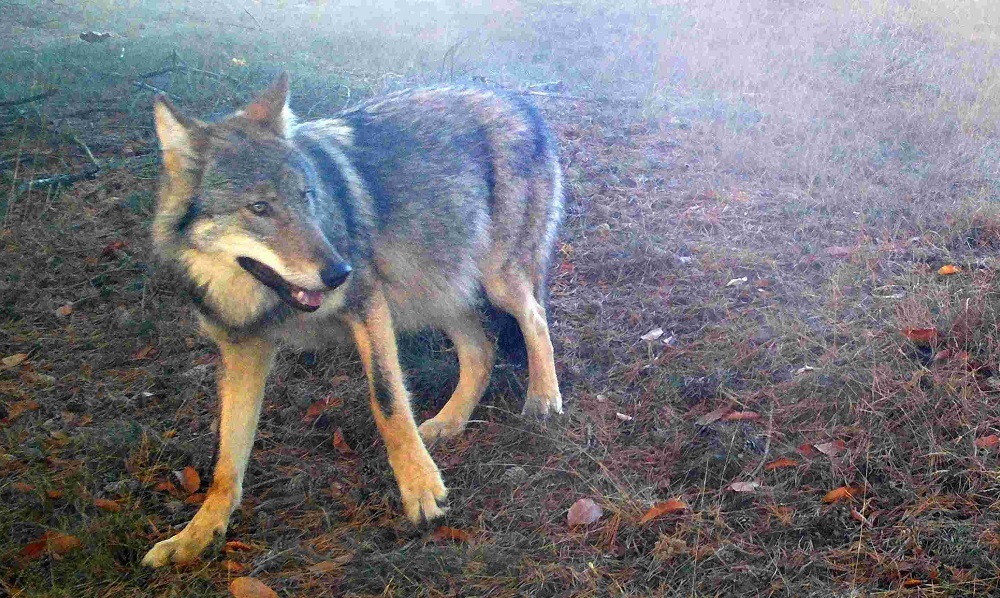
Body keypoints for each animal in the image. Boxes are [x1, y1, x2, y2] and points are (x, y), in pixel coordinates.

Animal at [141, 73, 564, 567]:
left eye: (306, 198)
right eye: (259, 208)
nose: (339, 271)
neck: (259, 300)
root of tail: (519, 100)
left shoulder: (368, 304)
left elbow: (388, 400)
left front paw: (421, 490)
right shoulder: (242, 351)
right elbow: (227, 457)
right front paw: (196, 534)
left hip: (493, 280)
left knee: (535, 320)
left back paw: (543, 398)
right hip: (433, 287)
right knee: (482, 351)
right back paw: (449, 422)